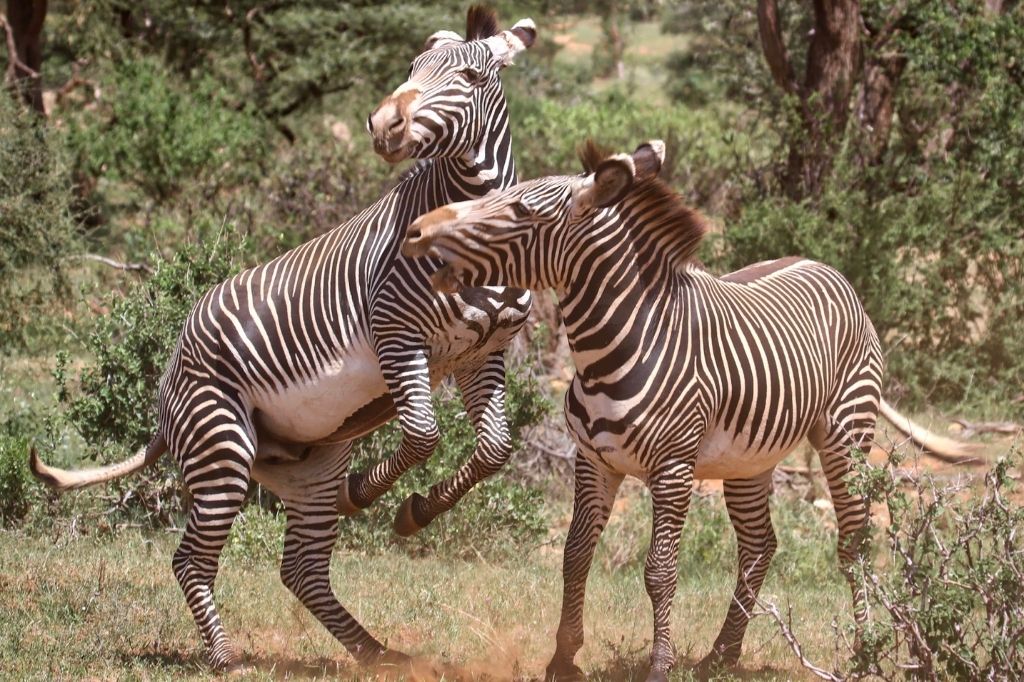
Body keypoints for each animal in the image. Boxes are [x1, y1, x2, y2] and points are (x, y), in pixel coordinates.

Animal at [30, 6, 537, 672]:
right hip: (221, 444)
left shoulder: (484, 352)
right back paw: (226, 658)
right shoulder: (397, 333)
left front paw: (415, 512)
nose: (383, 124)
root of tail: (168, 383)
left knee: (301, 569)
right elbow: (425, 435)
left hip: (309, 465)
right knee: (192, 559)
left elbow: (496, 449)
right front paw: (368, 492)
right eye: (410, 67)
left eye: (472, 77)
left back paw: (376, 654)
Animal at [402, 139, 981, 681]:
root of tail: (823, 266)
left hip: (846, 434)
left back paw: (862, 654)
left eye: (521, 210)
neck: (612, 348)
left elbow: (659, 571)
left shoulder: (673, 468)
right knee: (759, 545)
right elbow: (575, 554)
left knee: (853, 543)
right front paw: (563, 660)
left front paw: (660, 664)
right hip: (750, 458)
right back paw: (721, 655)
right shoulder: (593, 461)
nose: (416, 231)